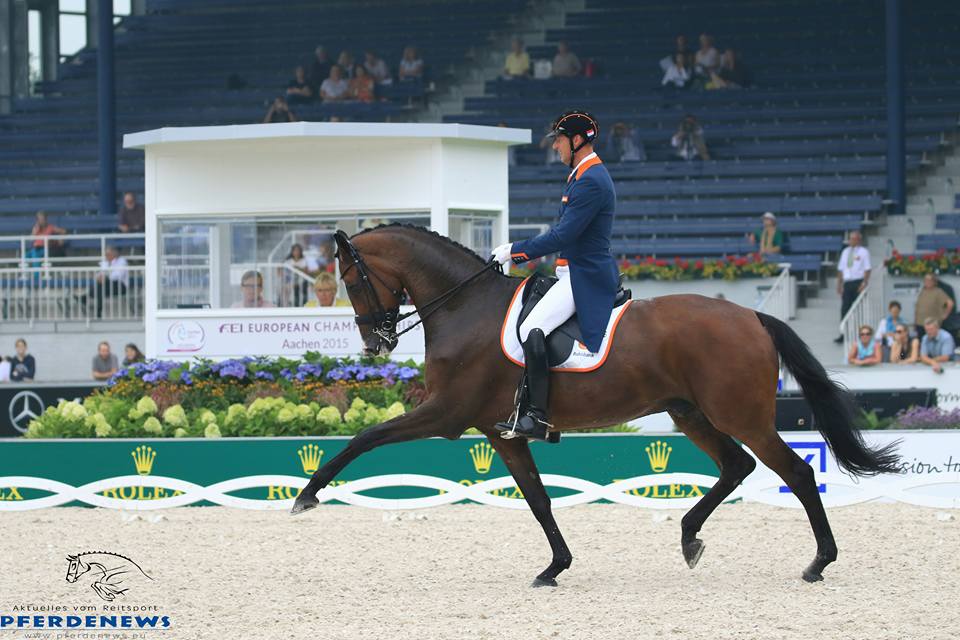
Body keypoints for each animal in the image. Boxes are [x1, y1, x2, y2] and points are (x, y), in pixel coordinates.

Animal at [292, 223, 899, 585]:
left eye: (350, 279)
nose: (374, 343)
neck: (465, 308)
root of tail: (751, 315)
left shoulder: (447, 414)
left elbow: (364, 437)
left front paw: (306, 495)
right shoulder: (499, 431)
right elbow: (538, 500)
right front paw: (554, 567)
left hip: (739, 414)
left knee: (795, 471)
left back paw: (818, 562)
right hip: (690, 412)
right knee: (737, 466)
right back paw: (689, 537)